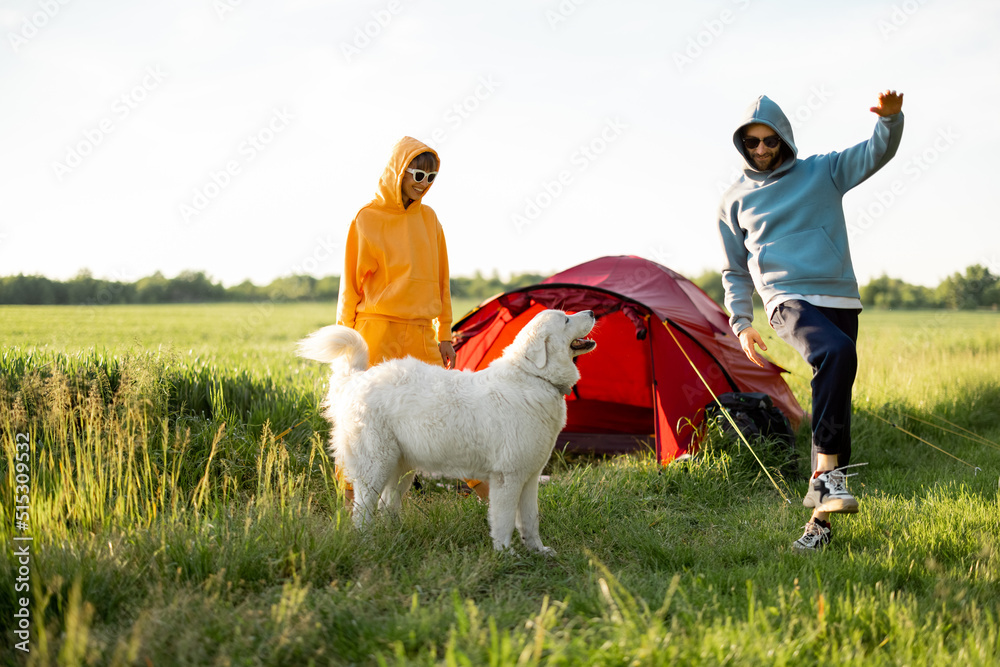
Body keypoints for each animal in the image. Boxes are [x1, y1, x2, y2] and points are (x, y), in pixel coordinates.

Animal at [296, 308, 592, 552]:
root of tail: (357, 378)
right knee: (363, 510)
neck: (535, 377)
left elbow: (530, 520)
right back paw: (368, 543)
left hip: (401, 467)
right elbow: (505, 521)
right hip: (375, 464)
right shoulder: (507, 478)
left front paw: (538, 551)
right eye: (566, 319)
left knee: (387, 504)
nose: (590, 312)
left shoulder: (529, 477)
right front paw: (505, 555)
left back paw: (397, 537)